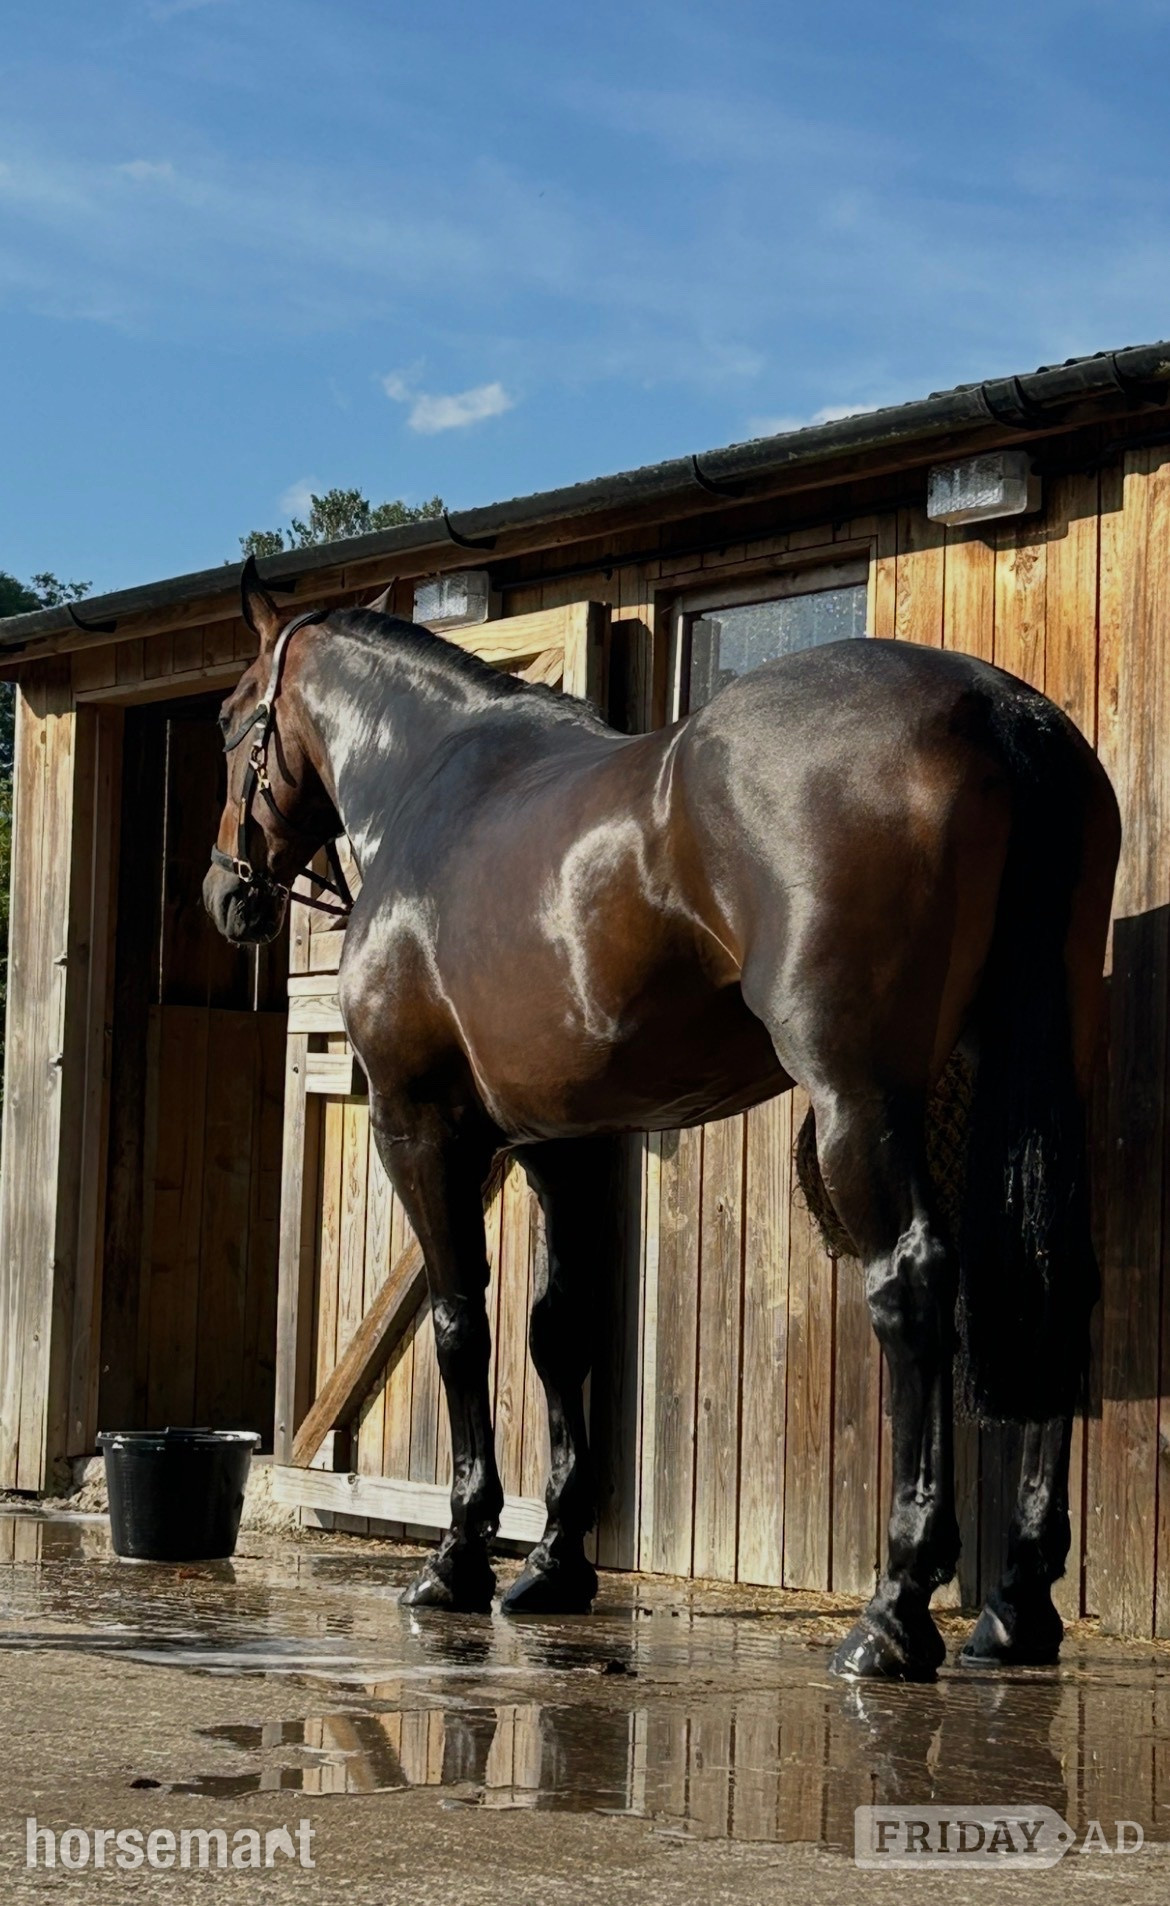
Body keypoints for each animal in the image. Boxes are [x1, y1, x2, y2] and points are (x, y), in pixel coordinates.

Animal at [205, 556, 1120, 1681]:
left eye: (230, 720)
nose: (228, 893)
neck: (431, 786)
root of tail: (995, 705)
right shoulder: (562, 1143)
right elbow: (558, 1330)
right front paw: (553, 1565)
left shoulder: (418, 1126)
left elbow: (463, 1325)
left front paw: (458, 1558)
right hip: (1039, 1071)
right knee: (1053, 1278)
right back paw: (1018, 1608)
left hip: (859, 1097)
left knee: (913, 1285)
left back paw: (895, 1609)